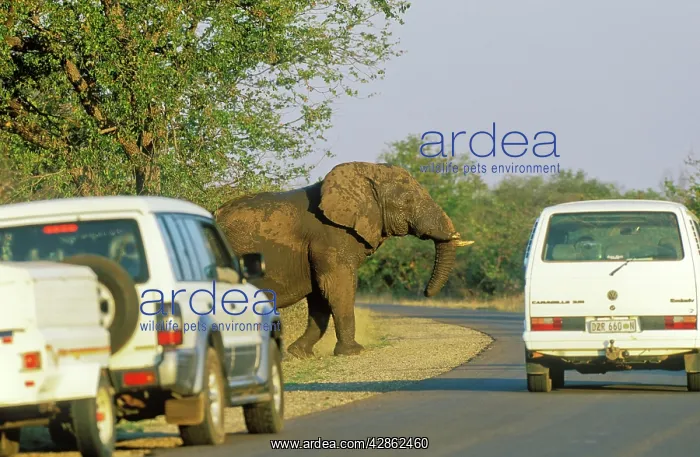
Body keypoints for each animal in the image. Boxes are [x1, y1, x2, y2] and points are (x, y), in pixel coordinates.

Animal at [214, 161, 473, 358]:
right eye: (408, 201)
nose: (426, 293)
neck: (365, 176)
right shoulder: (330, 237)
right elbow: (337, 286)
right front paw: (354, 352)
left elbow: (320, 296)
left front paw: (300, 354)